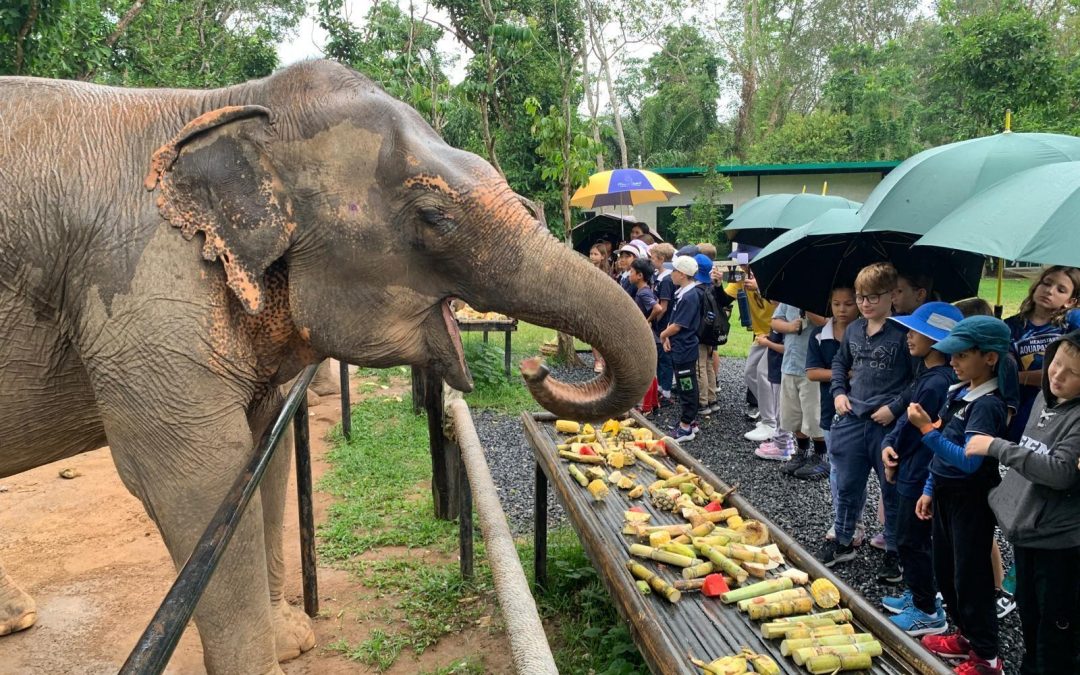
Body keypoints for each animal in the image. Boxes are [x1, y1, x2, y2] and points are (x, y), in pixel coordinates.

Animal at [0, 60, 655, 673]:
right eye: (432, 217)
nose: (535, 370)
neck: (228, 106)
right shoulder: (143, 290)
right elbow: (196, 477)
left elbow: (260, 455)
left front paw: (292, 642)